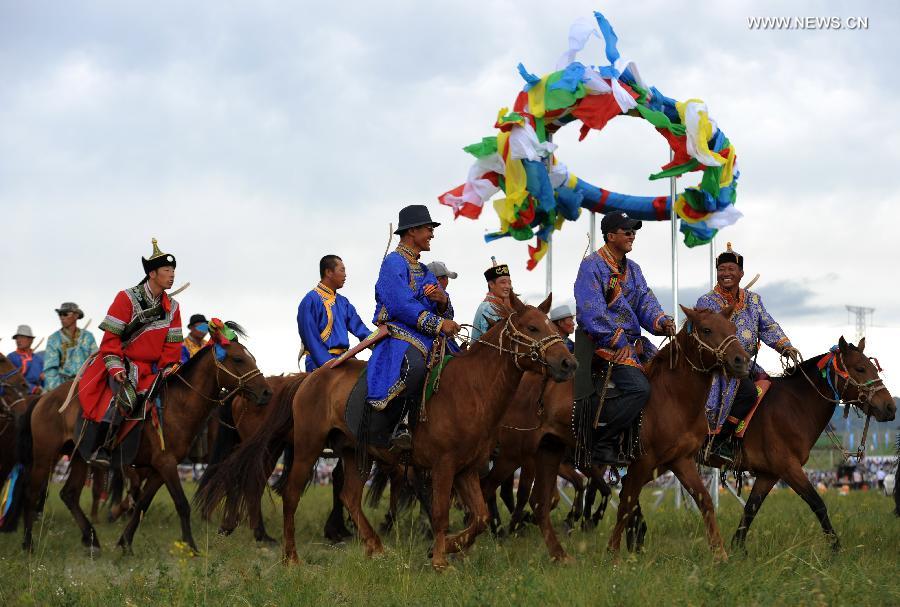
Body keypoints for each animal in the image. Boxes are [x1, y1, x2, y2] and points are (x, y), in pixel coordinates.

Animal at [18, 332, 270, 556]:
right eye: (238, 359)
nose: (266, 392)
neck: (177, 405)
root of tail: (44, 398)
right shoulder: (166, 464)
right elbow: (182, 504)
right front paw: (191, 547)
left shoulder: (159, 469)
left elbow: (141, 505)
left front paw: (125, 544)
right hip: (45, 456)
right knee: (31, 494)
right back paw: (28, 544)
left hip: (81, 456)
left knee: (69, 494)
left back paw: (92, 540)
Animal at [198, 294, 576, 568]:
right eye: (532, 327)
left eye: (550, 327)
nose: (568, 363)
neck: (472, 389)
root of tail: (310, 377)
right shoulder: (444, 467)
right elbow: (441, 513)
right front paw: (440, 560)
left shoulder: (467, 469)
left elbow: (480, 517)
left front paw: (448, 548)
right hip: (307, 447)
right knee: (290, 494)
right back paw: (291, 556)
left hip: (352, 452)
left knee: (350, 496)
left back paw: (376, 547)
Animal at [524, 306, 748, 564]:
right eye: (707, 329)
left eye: (732, 328)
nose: (741, 361)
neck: (673, 397)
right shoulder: (642, 463)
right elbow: (626, 505)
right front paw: (613, 554)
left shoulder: (681, 460)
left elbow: (705, 501)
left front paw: (720, 553)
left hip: (549, 449)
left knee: (540, 502)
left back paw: (559, 555)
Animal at [712, 340, 896, 552]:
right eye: (860, 368)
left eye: (874, 368)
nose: (890, 407)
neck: (795, 406)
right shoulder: (789, 467)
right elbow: (817, 503)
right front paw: (835, 547)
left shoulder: (769, 474)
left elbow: (751, 508)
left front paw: (739, 549)